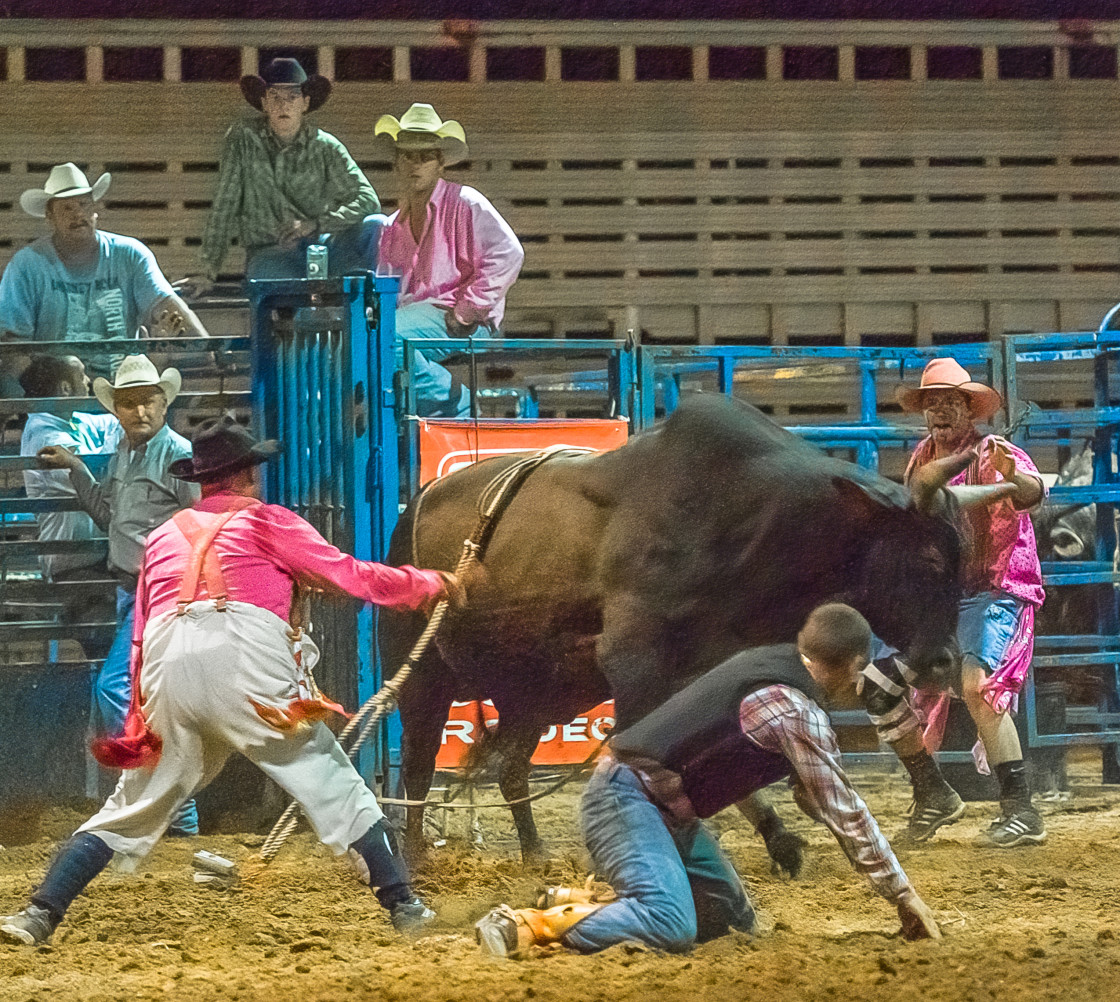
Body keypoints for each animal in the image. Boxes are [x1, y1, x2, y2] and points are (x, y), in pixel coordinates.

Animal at [383, 396, 963, 859]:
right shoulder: (635, 666)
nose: (944, 661)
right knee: (417, 763)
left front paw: (783, 833)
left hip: (537, 693)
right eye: (931, 558)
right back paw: (415, 853)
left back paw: (534, 853)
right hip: (423, 678)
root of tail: (420, 500)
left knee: (510, 767)